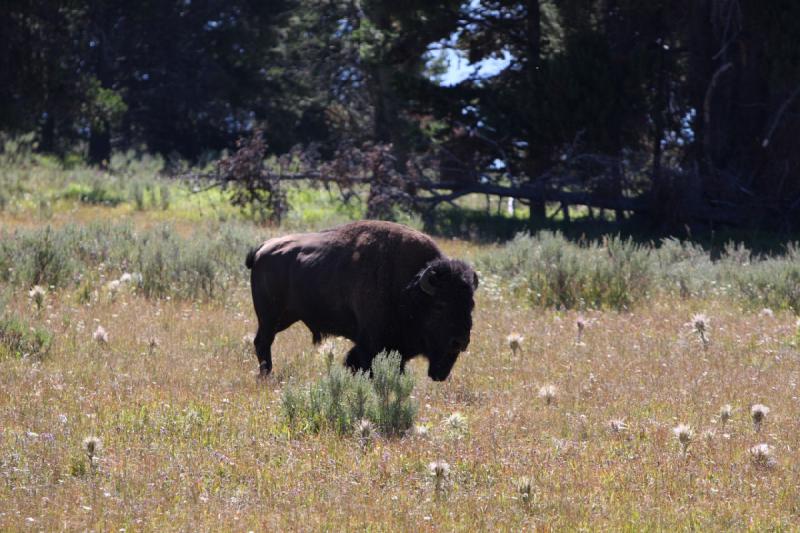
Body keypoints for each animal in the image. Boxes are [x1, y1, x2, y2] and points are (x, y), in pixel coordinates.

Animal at [244, 221, 478, 382]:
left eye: (470, 305)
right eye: (440, 306)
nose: (460, 341)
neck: (409, 287)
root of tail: (263, 248)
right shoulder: (372, 342)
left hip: (284, 317)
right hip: (270, 317)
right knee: (263, 342)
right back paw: (266, 375)